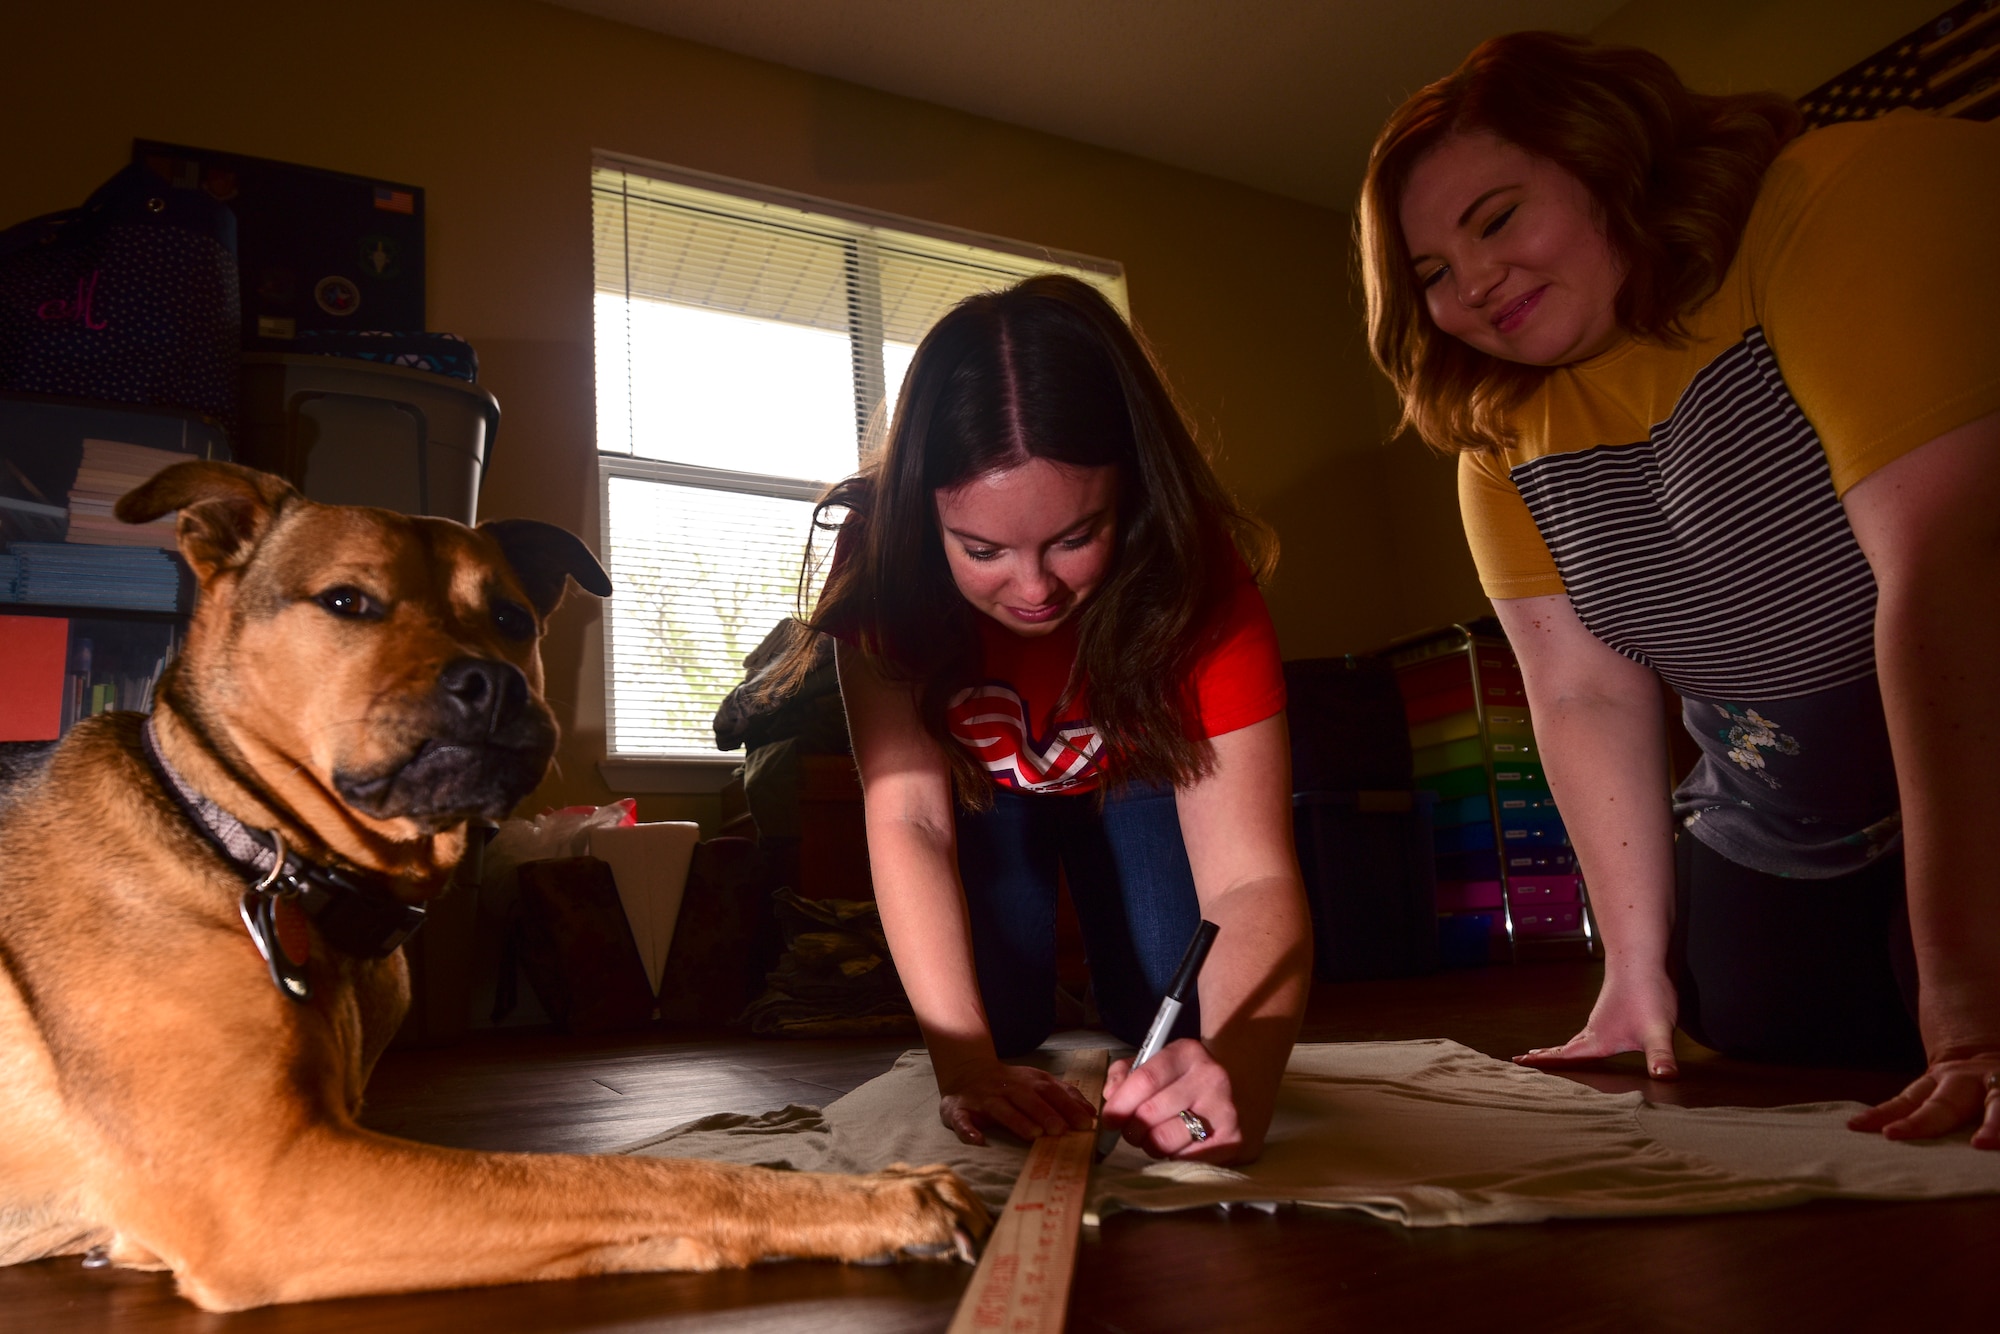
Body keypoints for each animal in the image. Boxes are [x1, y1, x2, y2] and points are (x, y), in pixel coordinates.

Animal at [0, 462, 984, 1312]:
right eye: (346, 602)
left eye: (512, 617)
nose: (495, 684)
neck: (244, 836)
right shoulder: (266, 1182)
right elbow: (632, 1173)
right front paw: (880, 1202)